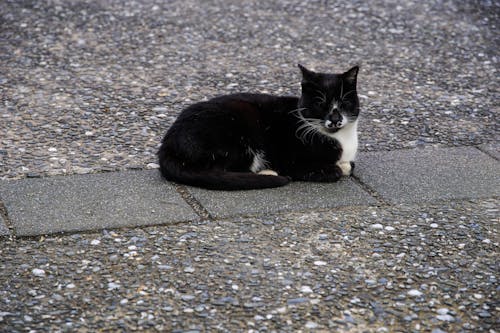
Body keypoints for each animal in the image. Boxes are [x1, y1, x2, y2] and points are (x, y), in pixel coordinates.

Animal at [158, 64, 358, 189]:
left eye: (344, 103)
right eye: (320, 104)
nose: (335, 119)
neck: (339, 138)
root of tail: (167, 144)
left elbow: (350, 164)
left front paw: (346, 164)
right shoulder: (292, 161)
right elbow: (333, 170)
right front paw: (336, 168)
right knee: (220, 170)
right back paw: (268, 173)